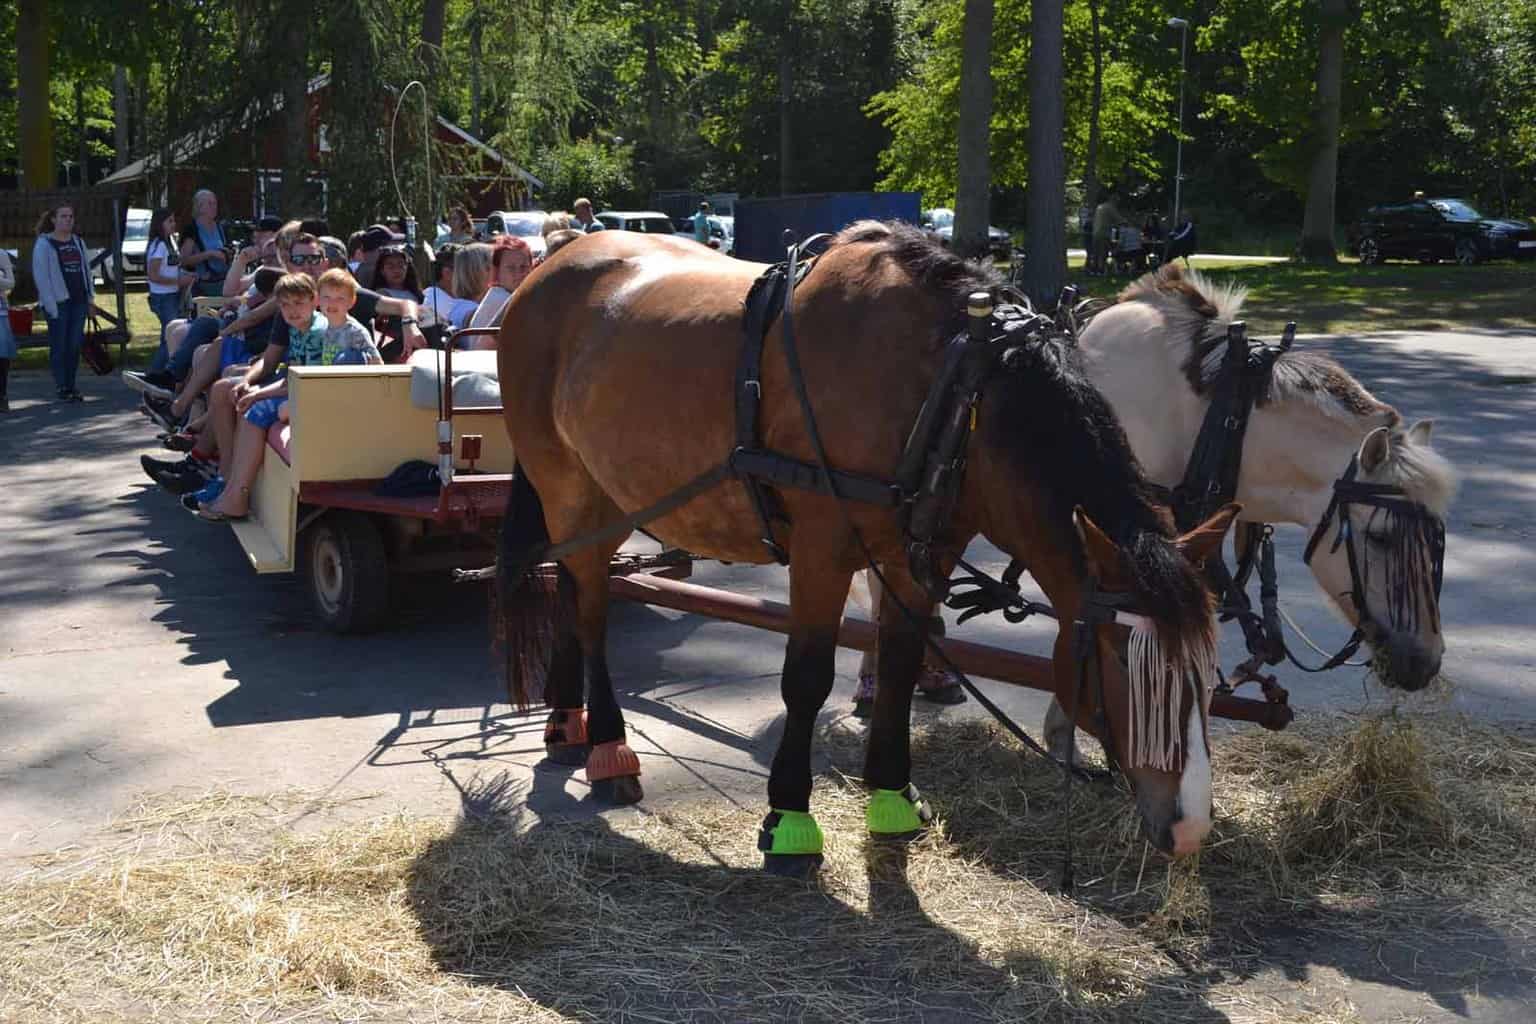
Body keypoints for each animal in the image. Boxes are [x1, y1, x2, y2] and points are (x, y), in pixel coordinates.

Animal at [497, 222, 1241, 872]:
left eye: (1207, 672)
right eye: (1121, 659)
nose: (1189, 829)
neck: (954, 392)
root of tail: (551, 264)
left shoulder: (921, 556)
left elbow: (904, 664)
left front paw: (892, 795)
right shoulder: (821, 549)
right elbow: (806, 678)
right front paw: (789, 820)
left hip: (603, 495)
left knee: (571, 589)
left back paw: (565, 721)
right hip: (569, 485)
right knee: (592, 606)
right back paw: (607, 746)